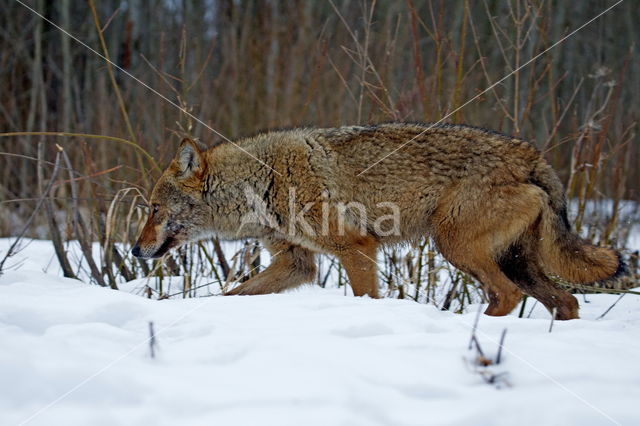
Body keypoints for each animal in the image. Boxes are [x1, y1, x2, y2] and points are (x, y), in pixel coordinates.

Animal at [131, 121, 624, 318]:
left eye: (153, 209)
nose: (134, 250)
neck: (263, 177)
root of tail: (533, 154)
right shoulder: (297, 264)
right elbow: (233, 294)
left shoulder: (357, 249)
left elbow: (366, 296)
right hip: (516, 262)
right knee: (566, 301)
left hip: (456, 247)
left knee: (507, 297)